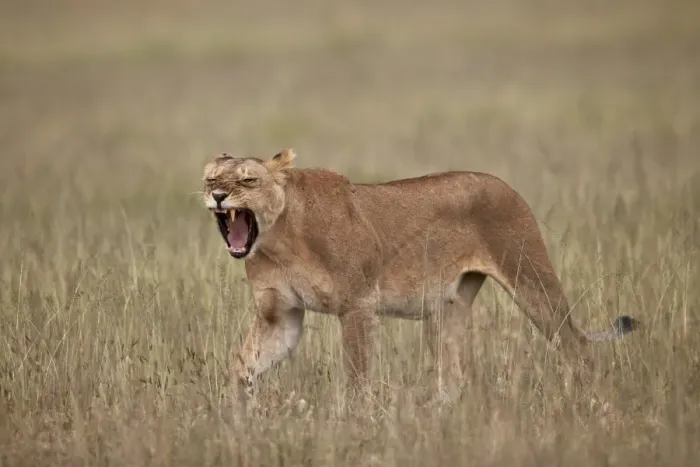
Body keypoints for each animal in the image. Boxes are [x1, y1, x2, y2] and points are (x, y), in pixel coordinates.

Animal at [201, 148, 639, 406]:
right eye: (210, 179)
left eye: (247, 180)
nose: (218, 197)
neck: (277, 238)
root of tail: (503, 184)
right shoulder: (281, 316)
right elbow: (242, 366)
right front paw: (235, 418)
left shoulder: (357, 306)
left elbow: (357, 377)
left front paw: (356, 425)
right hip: (448, 309)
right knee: (453, 376)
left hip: (530, 276)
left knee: (574, 345)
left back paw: (590, 403)